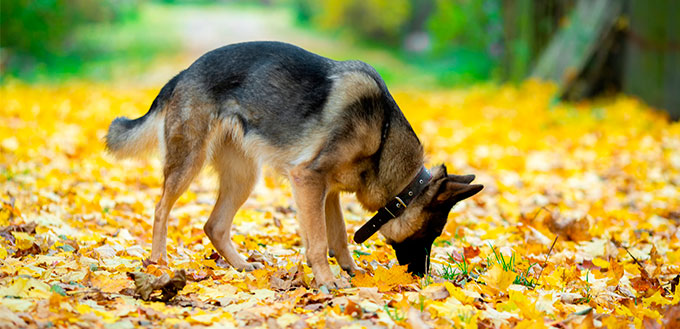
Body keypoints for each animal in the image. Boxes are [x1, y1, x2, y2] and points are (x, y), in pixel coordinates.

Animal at [105, 40, 484, 288]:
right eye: (432, 234)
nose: (422, 278)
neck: (382, 134)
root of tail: (183, 73)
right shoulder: (308, 180)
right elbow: (317, 241)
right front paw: (328, 282)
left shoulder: (328, 193)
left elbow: (339, 237)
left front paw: (349, 271)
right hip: (189, 163)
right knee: (160, 208)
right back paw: (159, 260)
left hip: (244, 177)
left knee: (214, 225)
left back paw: (241, 265)